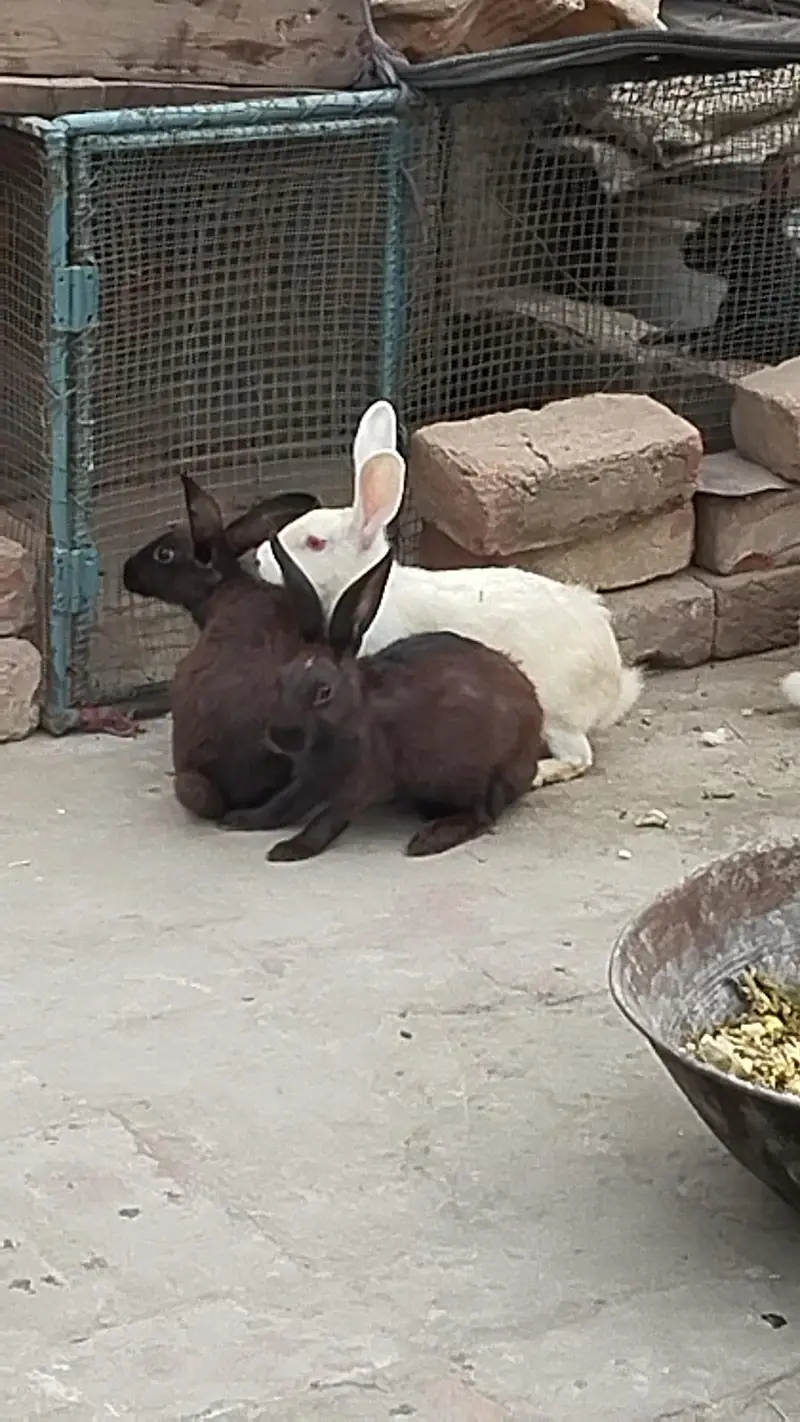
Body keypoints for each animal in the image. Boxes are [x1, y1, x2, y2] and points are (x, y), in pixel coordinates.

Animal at [249, 530, 544, 862]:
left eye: (324, 691)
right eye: (280, 678)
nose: (281, 736)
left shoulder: (363, 780)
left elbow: (328, 818)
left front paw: (290, 849)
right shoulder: (309, 780)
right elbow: (285, 802)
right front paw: (243, 819)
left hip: (485, 774)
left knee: (483, 814)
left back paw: (429, 839)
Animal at [255, 401, 642, 789]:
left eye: (315, 543)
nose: (258, 559)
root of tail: (612, 681)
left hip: (555, 710)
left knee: (579, 757)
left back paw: (539, 773)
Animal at [639, 152, 800, 365]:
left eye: (722, 223)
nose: (684, 246)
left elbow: (726, 341)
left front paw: (694, 349)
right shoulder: (719, 325)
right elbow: (691, 332)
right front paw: (652, 337)